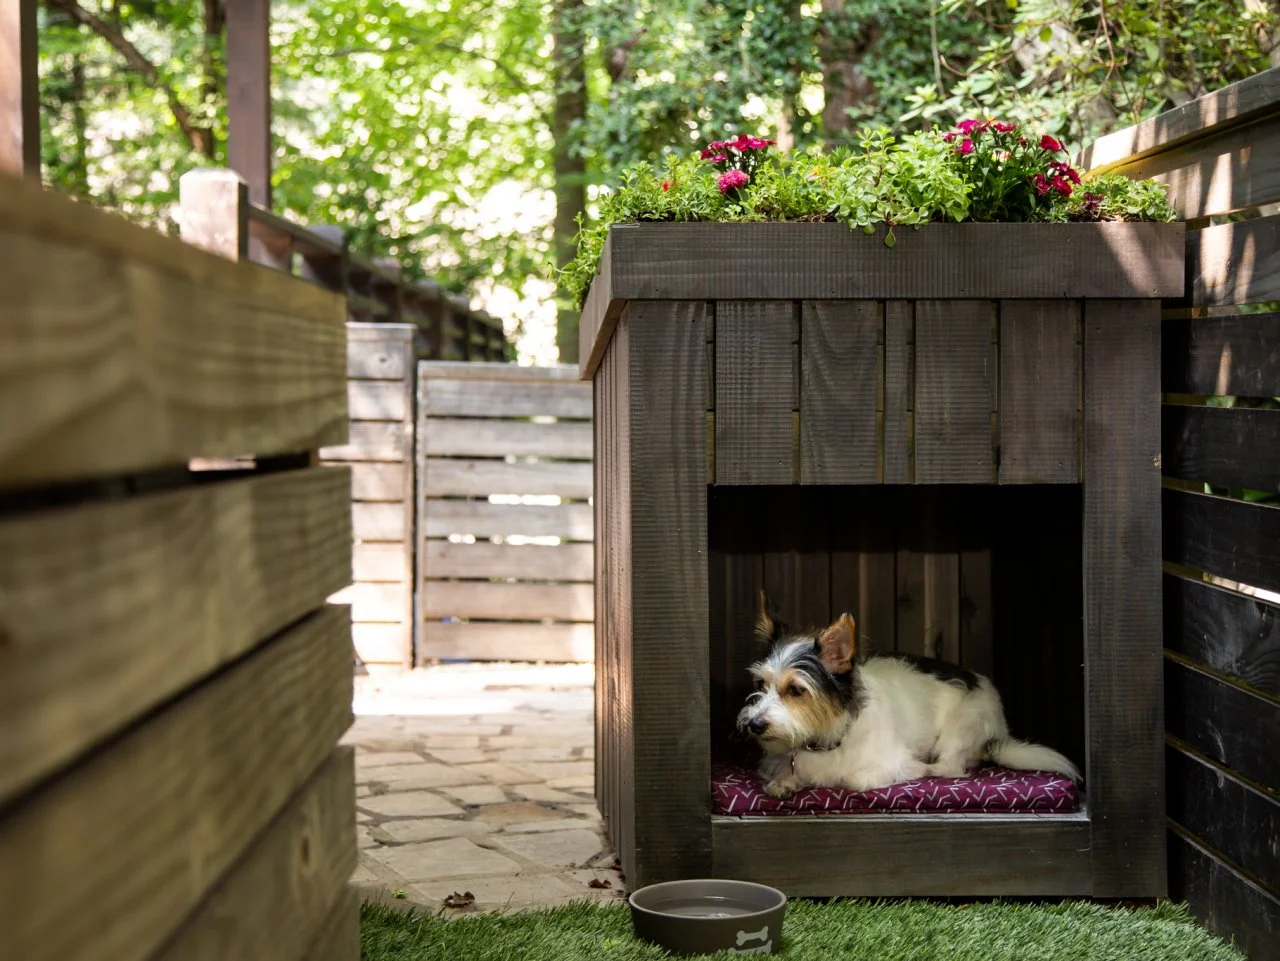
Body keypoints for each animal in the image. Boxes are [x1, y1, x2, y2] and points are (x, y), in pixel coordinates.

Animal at [732, 591, 1080, 798]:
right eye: (760, 685)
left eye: (796, 690)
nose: (755, 725)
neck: (825, 738)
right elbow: (780, 773)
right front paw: (785, 781)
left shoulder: (884, 763)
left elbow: (851, 780)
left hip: (960, 731)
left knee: (950, 768)